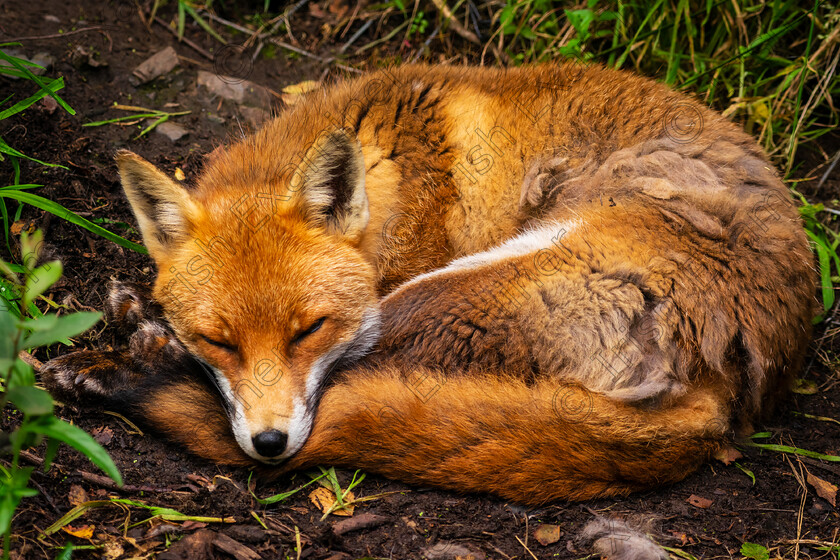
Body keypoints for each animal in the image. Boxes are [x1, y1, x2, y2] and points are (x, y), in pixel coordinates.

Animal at [42, 63, 816, 506]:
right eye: (220, 341)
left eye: (308, 330)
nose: (269, 444)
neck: (390, 157)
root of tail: (735, 397)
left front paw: (144, 345)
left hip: (438, 294)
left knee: (366, 383)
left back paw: (134, 364)